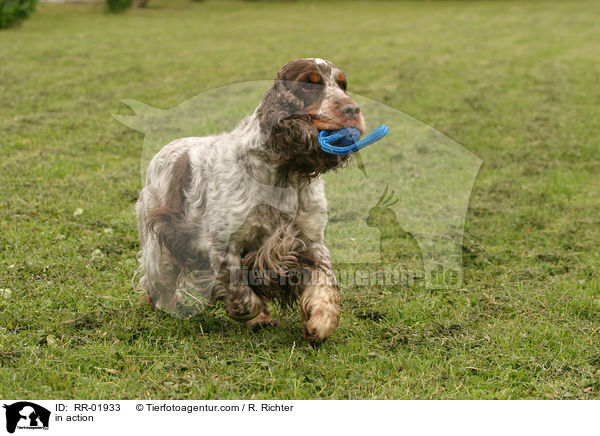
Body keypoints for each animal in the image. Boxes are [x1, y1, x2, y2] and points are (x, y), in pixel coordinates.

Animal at [137, 58, 366, 344]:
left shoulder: (310, 241)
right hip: (160, 244)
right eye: (309, 85)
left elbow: (324, 281)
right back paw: (168, 306)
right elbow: (244, 297)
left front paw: (320, 323)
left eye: (342, 84)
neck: (284, 174)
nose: (353, 109)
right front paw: (258, 315)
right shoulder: (223, 246)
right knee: (158, 281)